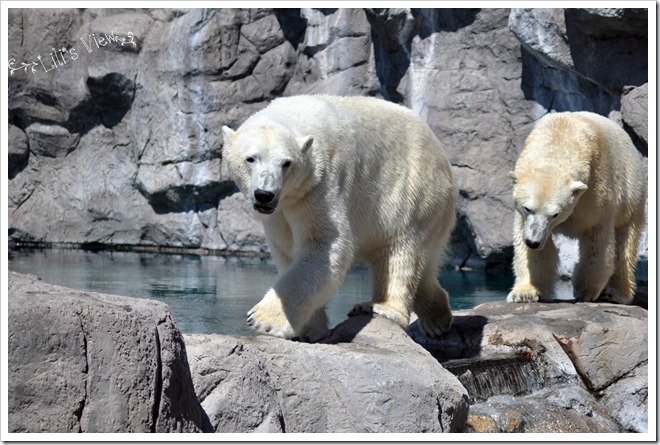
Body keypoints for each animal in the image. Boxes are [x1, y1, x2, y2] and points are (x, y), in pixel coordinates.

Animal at [222, 95, 457, 341]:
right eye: (251, 158)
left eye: (286, 163)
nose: (265, 194)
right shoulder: (281, 209)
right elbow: (287, 249)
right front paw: (308, 330)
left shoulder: (319, 185)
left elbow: (325, 245)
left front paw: (264, 319)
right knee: (423, 268)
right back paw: (437, 318)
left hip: (413, 191)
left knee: (400, 251)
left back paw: (381, 307)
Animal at [507, 111, 646, 304]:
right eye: (528, 208)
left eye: (555, 214)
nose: (533, 242)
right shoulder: (526, 219)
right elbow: (529, 250)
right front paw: (525, 293)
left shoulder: (596, 192)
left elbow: (597, 239)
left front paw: (585, 290)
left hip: (632, 195)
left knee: (625, 244)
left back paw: (615, 292)